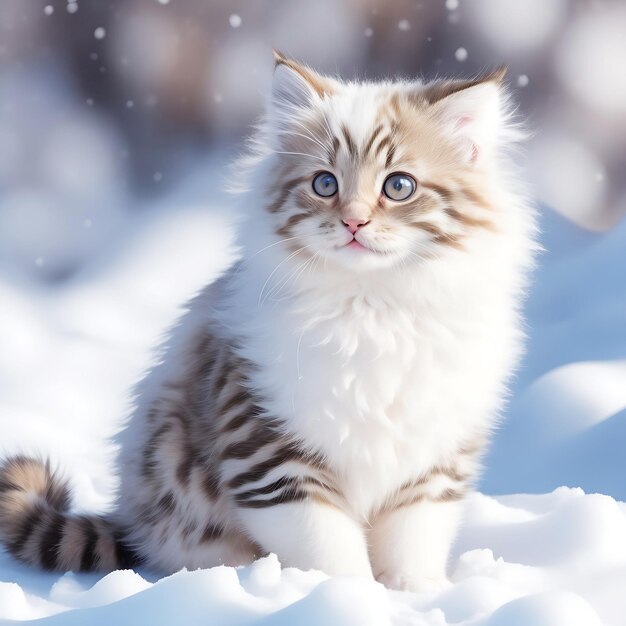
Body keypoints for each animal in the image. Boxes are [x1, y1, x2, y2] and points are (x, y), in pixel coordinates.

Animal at [1, 50, 536, 588]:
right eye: (325, 183)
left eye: (399, 186)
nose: (354, 221)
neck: (372, 305)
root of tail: (133, 518)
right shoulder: (269, 452)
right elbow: (327, 548)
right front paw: (345, 595)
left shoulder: (434, 460)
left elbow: (413, 542)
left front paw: (416, 593)